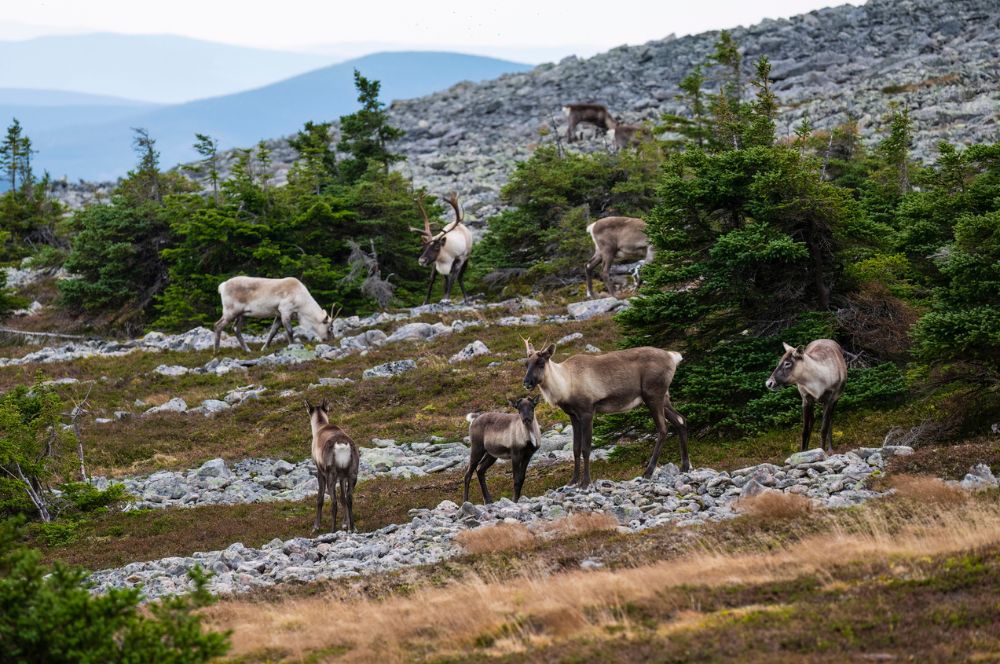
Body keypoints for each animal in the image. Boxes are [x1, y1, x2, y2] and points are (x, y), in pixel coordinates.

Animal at [308, 400, 364, 536]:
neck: (320, 427)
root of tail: (342, 446)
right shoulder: (342, 476)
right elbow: (343, 498)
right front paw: (345, 524)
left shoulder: (320, 471)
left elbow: (320, 498)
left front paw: (316, 526)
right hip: (352, 473)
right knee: (349, 498)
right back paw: (353, 528)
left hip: (331, 474)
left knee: (333, 502)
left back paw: (332, 530)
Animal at [524, 340, 688, 486]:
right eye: (526, 364)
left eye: (541, 363)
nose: (526, 383)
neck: (565, 385)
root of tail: (673, 356)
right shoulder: (573, 416)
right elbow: (575, 449)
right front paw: (573, 481)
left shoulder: (587, 412)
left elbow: (586, 448)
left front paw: (585, 482)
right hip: (663, 398)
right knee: (681, 420)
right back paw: (685, 466)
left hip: (653, 395)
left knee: (663, 428)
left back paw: (648, 472)